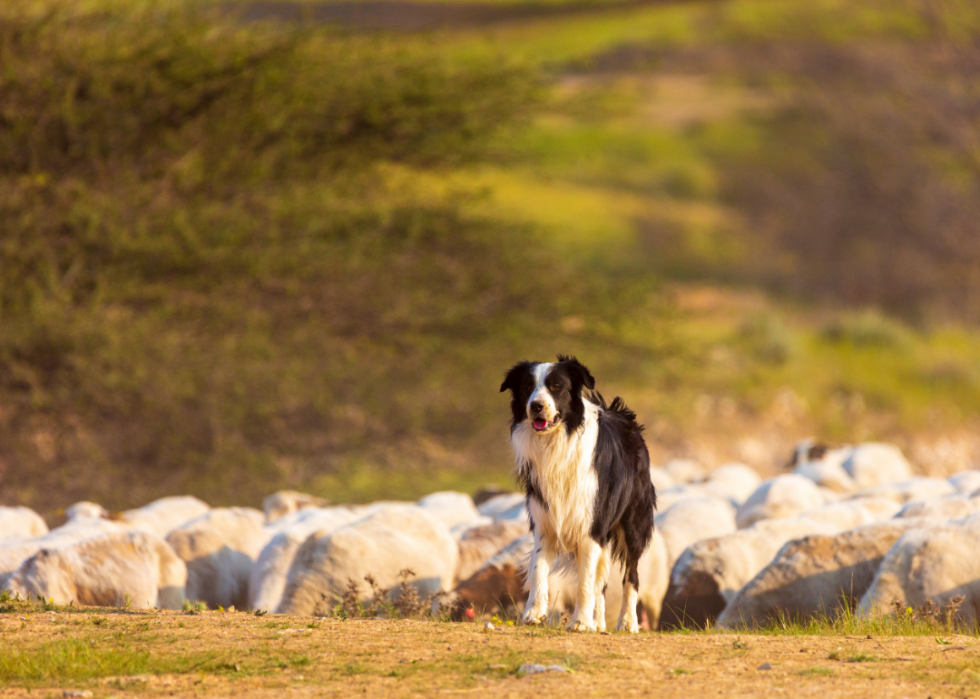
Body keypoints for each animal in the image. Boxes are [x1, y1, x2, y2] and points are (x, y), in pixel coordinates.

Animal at [502, 356, 656, 636]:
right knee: (601, 582)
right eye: (527, 386)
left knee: (631, 575)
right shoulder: (544, 520)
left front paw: (581, 622)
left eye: (556, 386)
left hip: (633, 524)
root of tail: (623, 414)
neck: (556, 443)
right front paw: (534, 613)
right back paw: (599, 622)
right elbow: (538, 567)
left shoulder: (591, 526)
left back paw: (627, 622)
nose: (536, 406)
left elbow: (585, 580)